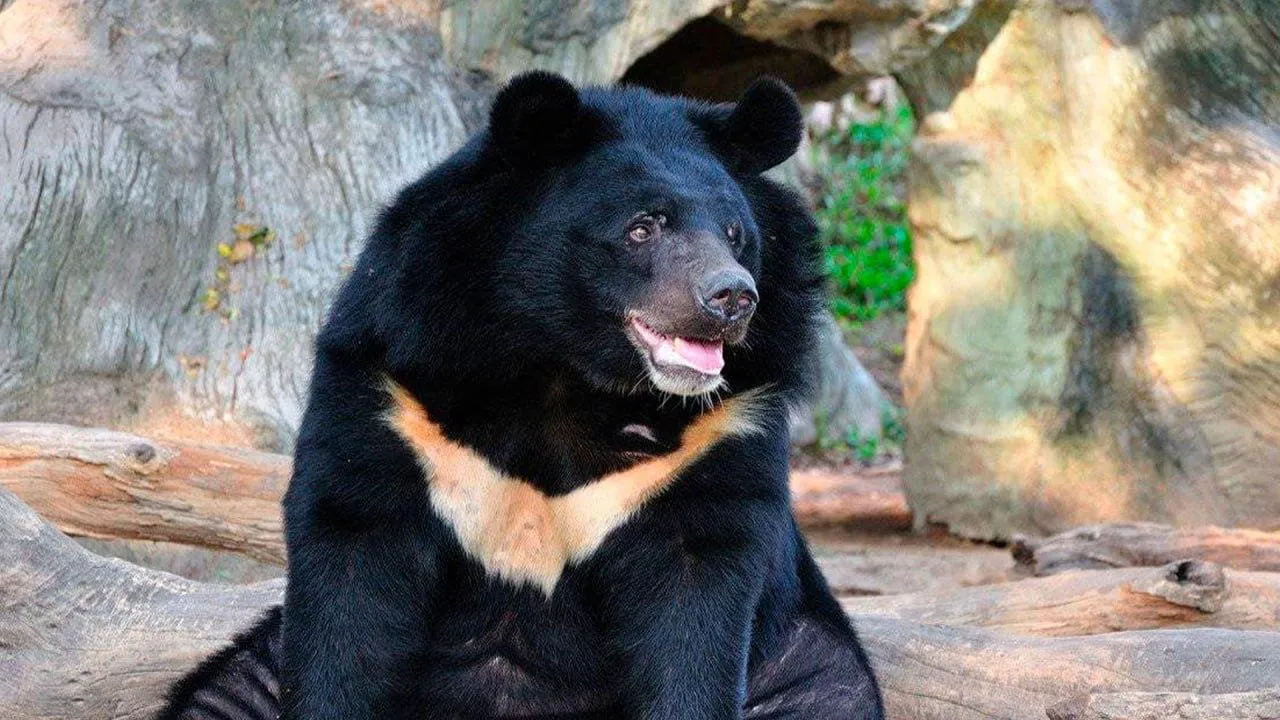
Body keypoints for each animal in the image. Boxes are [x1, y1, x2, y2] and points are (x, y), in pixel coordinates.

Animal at [157, 72, 884, 720]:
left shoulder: (725, 425)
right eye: (642, 228)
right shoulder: (392, 390)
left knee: (828, 695)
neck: (562, 367)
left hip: (800, 661)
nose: (731, 298)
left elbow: (695, 606)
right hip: (259, 664)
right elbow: (351, 571)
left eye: (737, 234)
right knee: (224, 695)